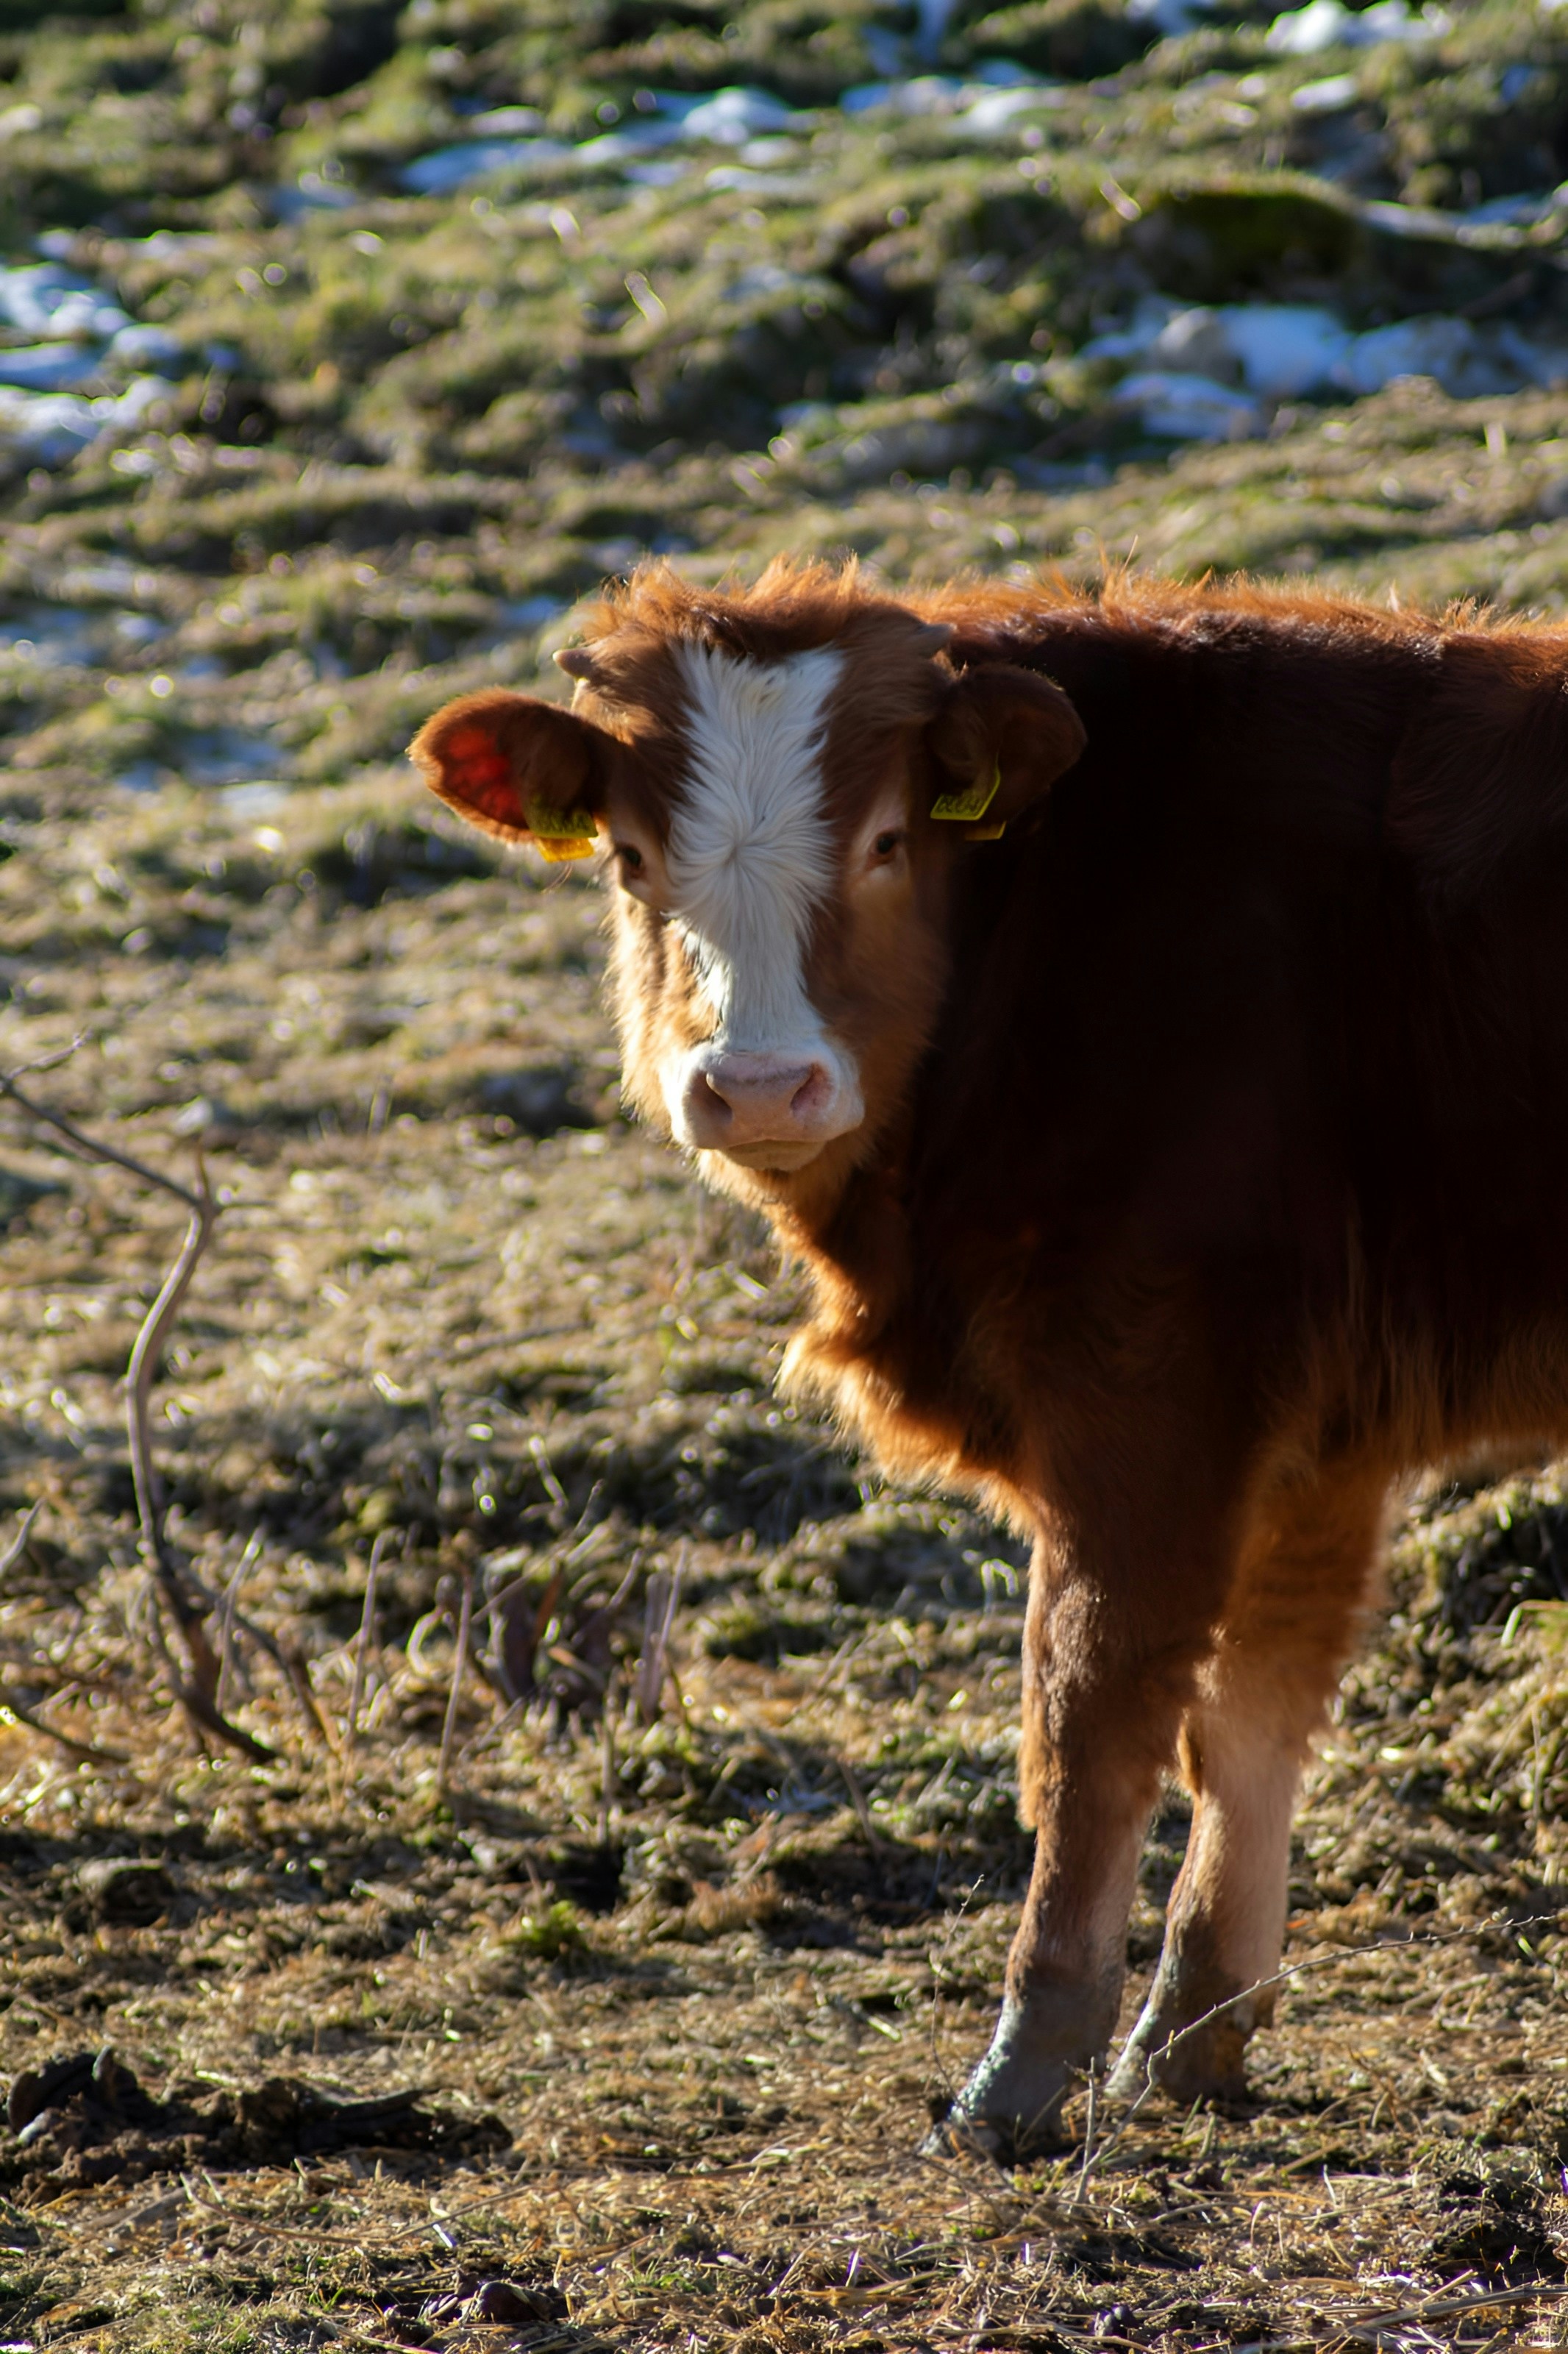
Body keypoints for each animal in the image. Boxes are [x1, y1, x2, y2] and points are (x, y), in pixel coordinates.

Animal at [411, 557, 1568, 2162]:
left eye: (889, 841)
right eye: (633, 858)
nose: (755, 1084)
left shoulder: (1153, 1383)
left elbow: (1091, 1713)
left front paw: (1024, 2067)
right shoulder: (1317, 1431)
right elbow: (1251, 1710)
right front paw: (1189, 2038)